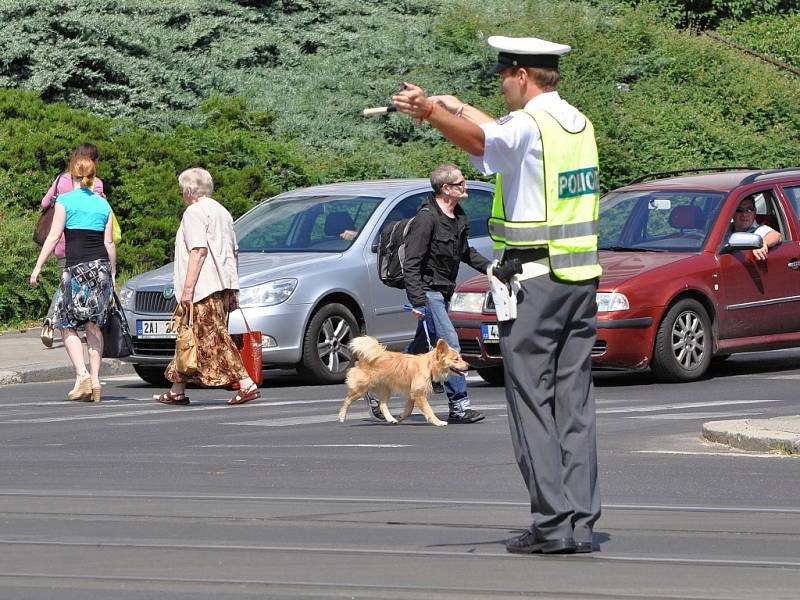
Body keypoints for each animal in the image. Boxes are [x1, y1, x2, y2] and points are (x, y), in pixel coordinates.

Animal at [338, 338, 468, 426]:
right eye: (456, 359)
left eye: (461, 358)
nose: (468, 365)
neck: (429, 366)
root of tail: (364, 358)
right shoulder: (419, 394)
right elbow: (429, 410)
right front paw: (438, 421)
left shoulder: (412, 394)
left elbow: (408, 411)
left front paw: (400, 417)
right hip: (361, 388)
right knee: (348, 399)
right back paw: (342, 416)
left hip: (386, 389)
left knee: (382, 405)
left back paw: (391, 418)